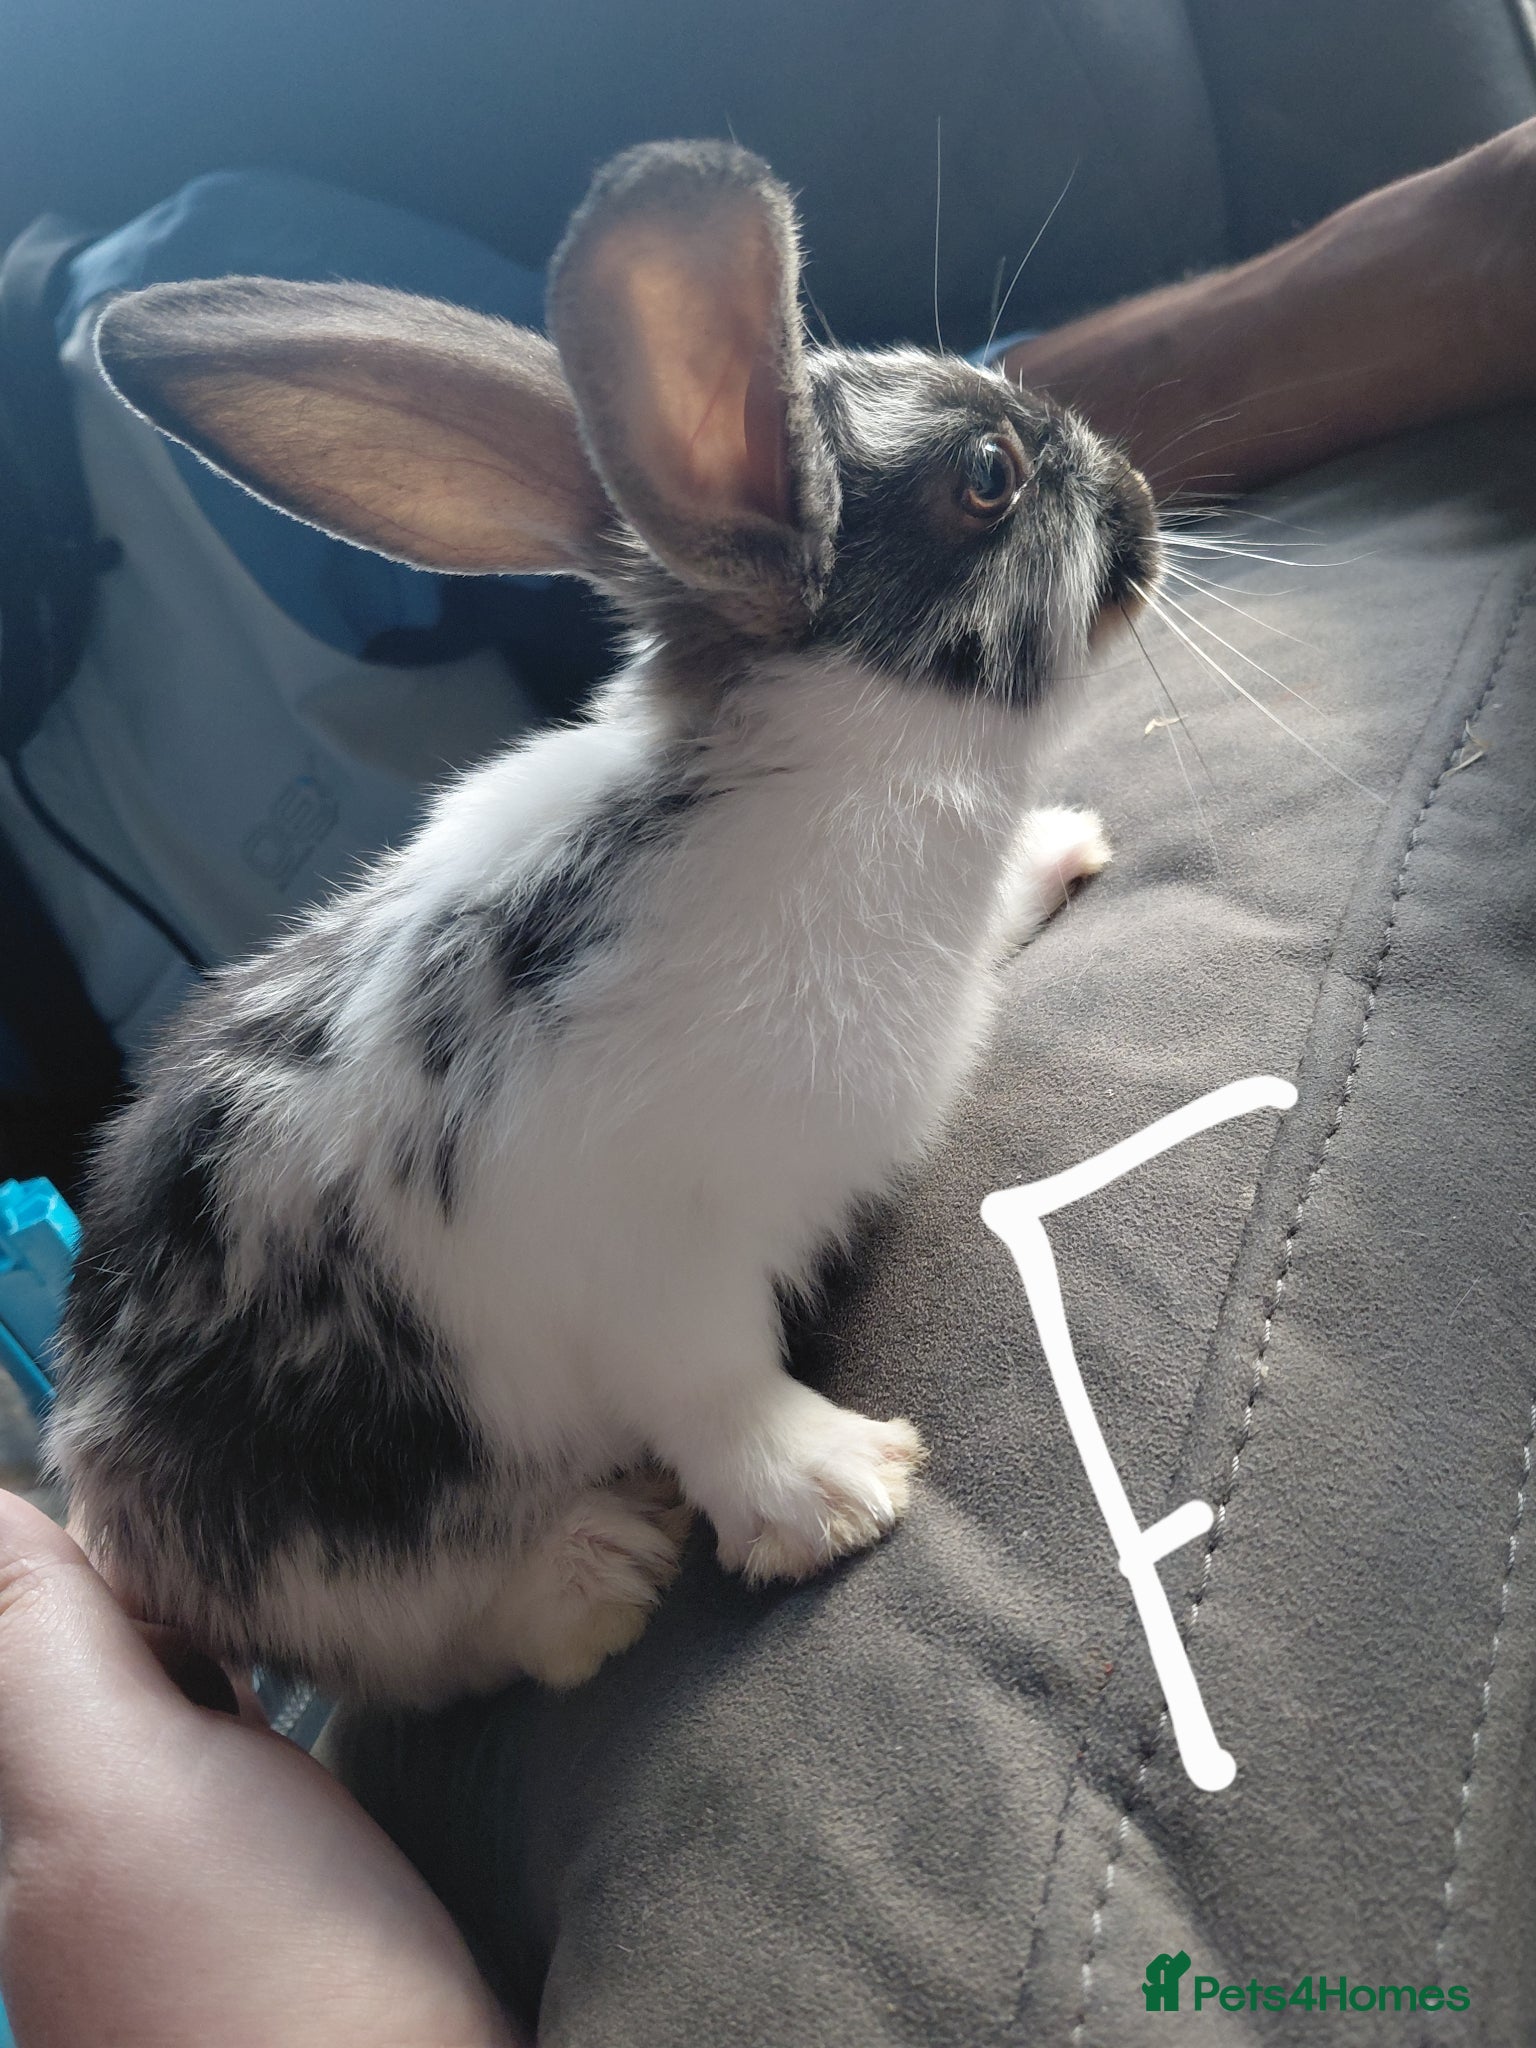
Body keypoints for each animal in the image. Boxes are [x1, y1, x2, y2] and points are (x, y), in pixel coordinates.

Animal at [43, 140, 1159, 1706]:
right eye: (989, 478)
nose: (1139, 495)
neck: (820, 786)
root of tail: (103, 1502)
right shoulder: (640, 1255)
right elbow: (716, 1387)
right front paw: (839, 1496)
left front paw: (1066, 848)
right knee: (432, 1637)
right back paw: (595, 1578)